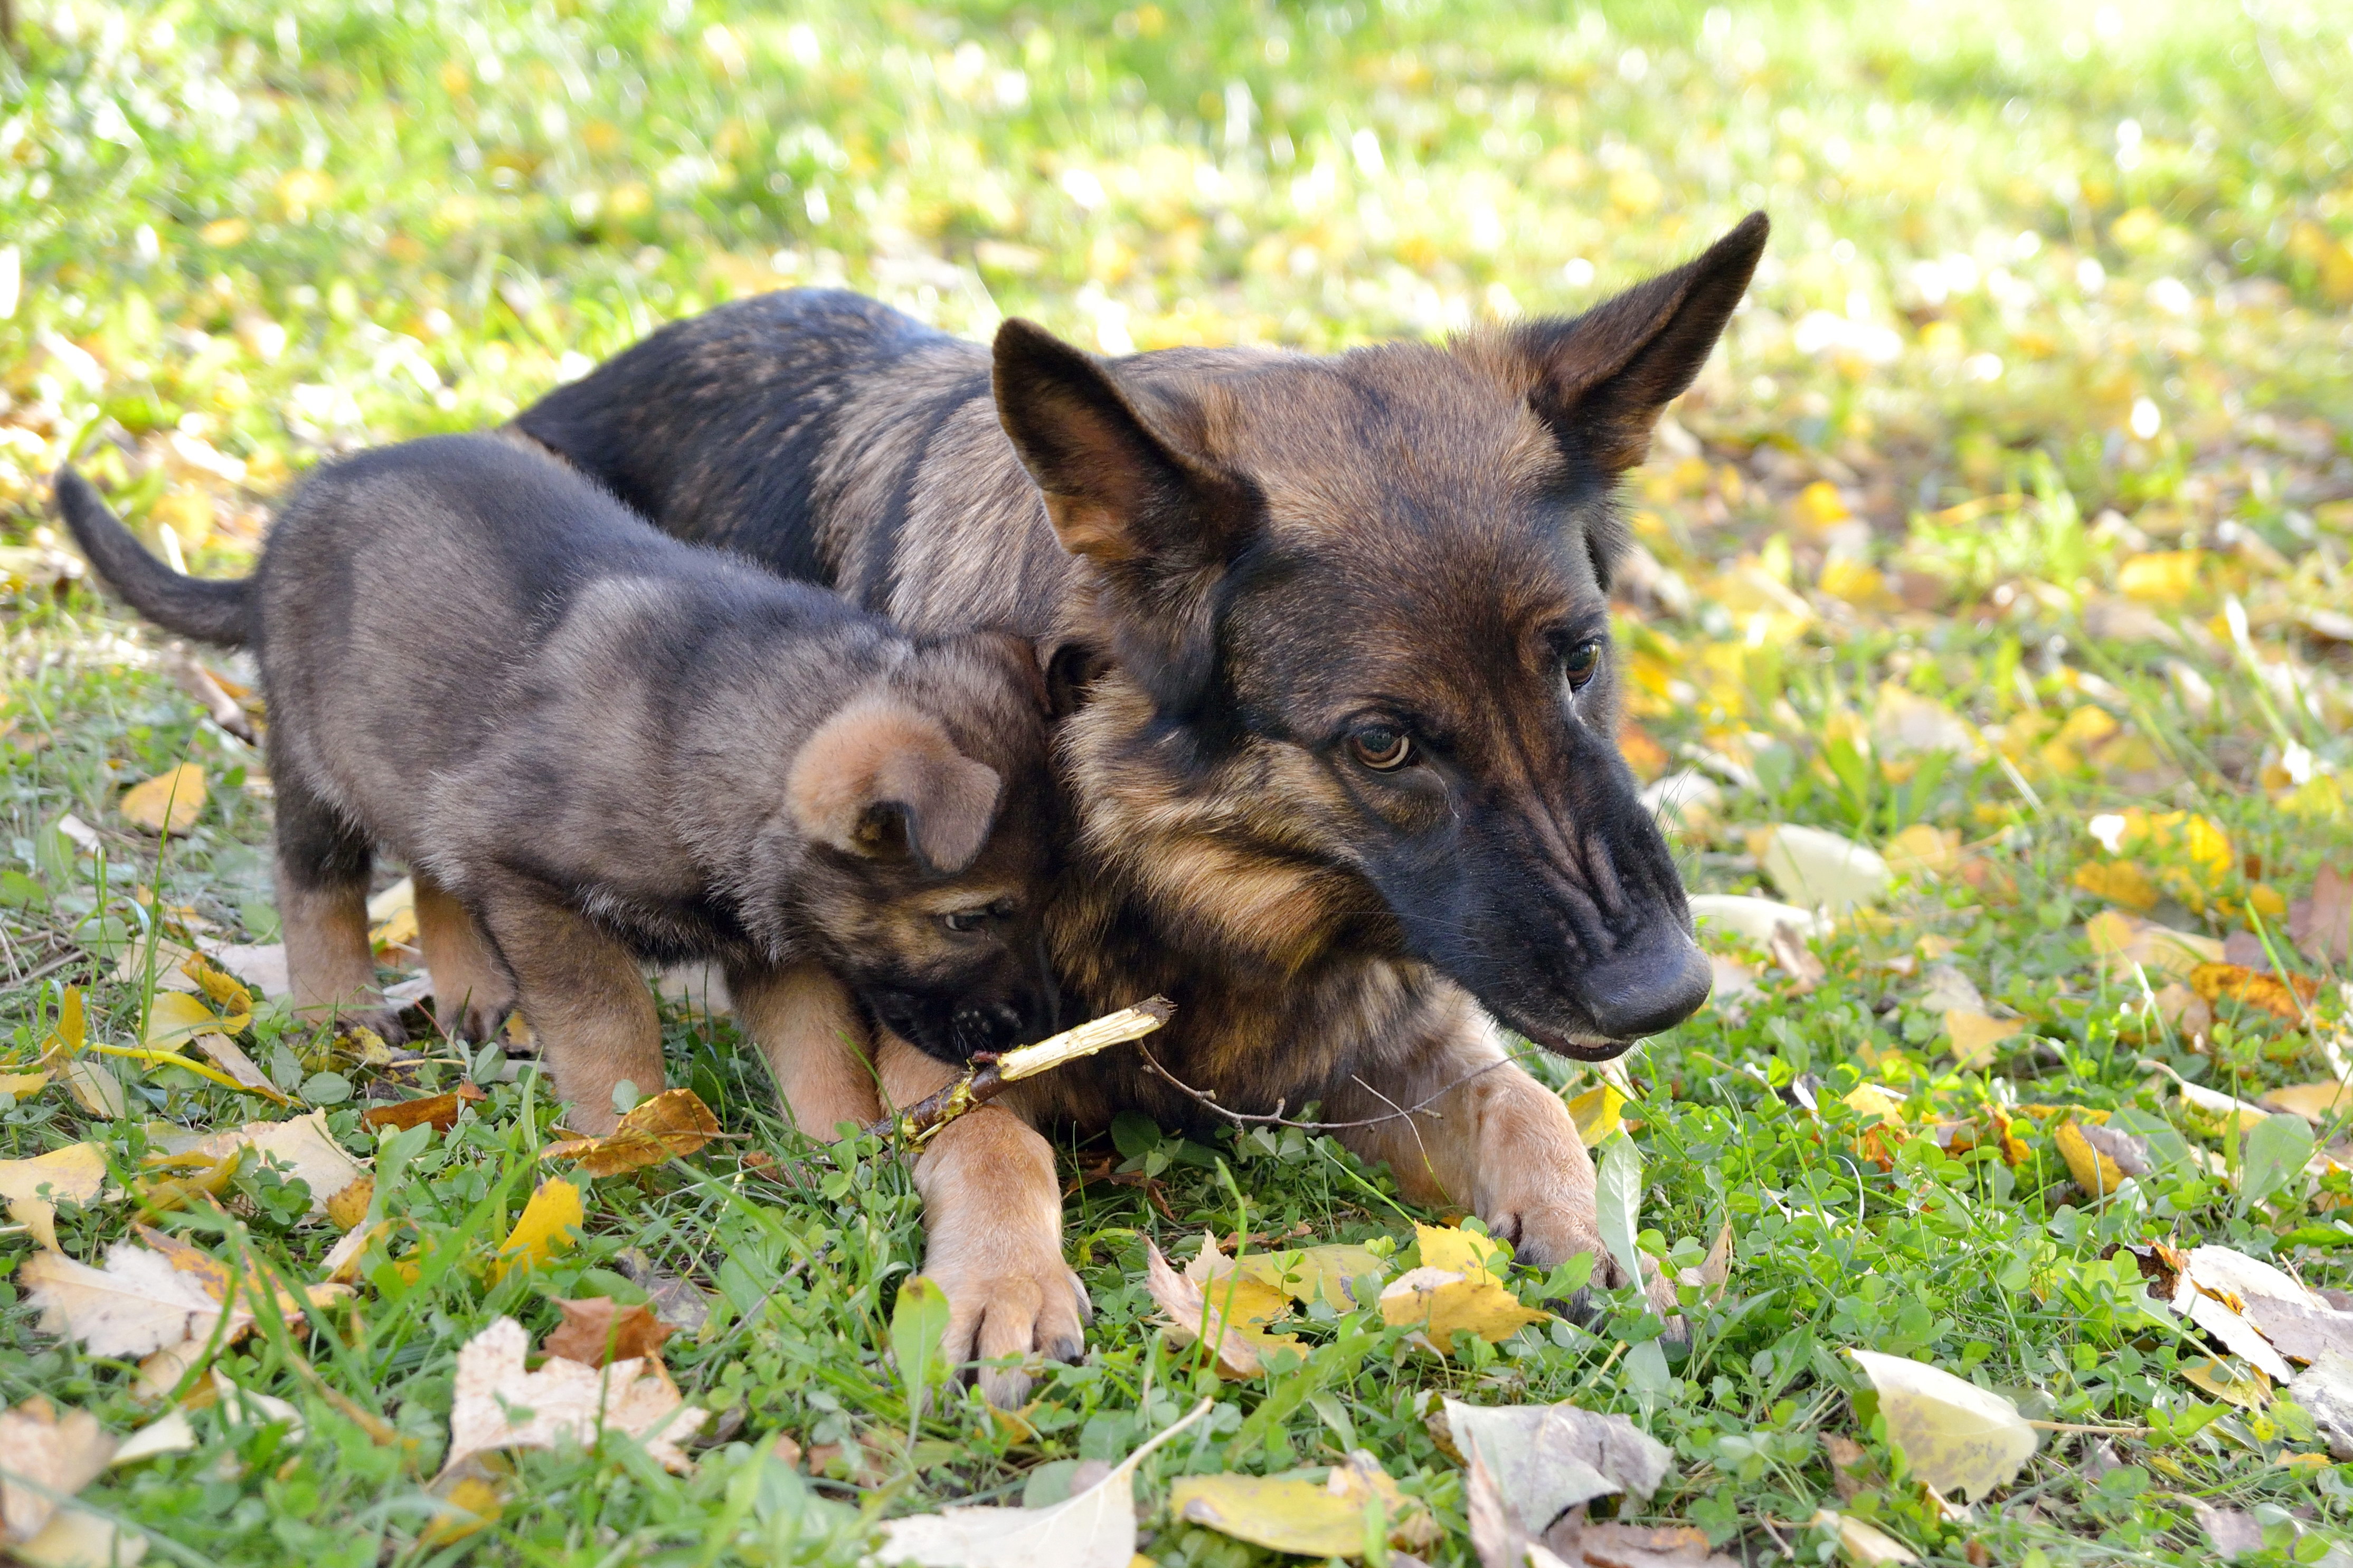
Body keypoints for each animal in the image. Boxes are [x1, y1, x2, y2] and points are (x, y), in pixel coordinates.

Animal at [53, 435, 1059, 1133]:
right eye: (970, 917)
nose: (1027, 1031)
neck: (703, 727)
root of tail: (275, 543)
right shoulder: (532, 882)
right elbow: (608, 1023)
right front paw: (634, 1137)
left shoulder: (775, 941)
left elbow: (820, 1046)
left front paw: (843, 1151)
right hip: (315, 762)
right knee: (317, 888)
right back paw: (341, 1013)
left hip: (417, 767)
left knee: (431, 877)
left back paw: (475, 998)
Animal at [515, 211, 1769, 1401]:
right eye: (1381, 742)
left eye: (1579, 663)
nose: (1667, 991)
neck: (1182, 888)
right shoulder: (938, 1054)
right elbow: (993, 1149)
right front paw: (1007, 1283)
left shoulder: (1407, 1043)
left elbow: (1531, 1109)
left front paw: (1595, 1239)